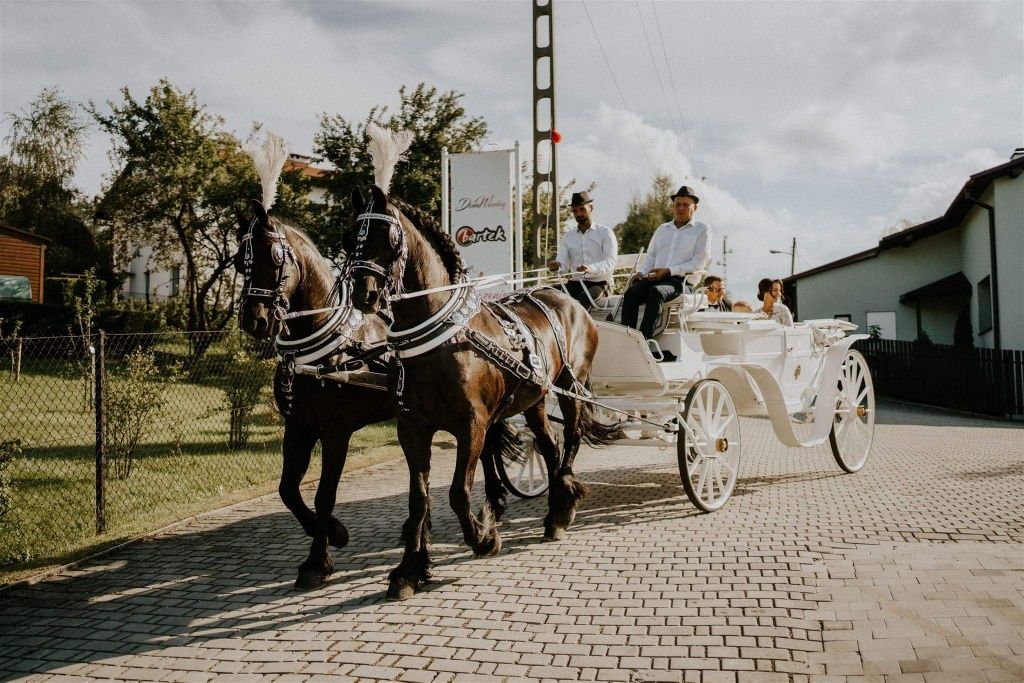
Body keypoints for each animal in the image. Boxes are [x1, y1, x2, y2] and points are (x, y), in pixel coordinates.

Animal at [234, 200, 516, 589]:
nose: (253, 319)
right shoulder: (298, 427)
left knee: (485, 447)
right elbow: (288, 490)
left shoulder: (335, 431)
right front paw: (333, 533)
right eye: (238, 261)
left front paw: (318, 559)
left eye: (274, 257)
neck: (325, 342)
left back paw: (493, 505)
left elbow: (324, 495)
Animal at [344, 184, 618, 602]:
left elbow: (458, 491)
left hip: (572, 387)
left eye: (387, 238)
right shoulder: (412, 430)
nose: (364, 294)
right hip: (536, 399)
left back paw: (563, 506)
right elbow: (418, 500)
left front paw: (484, 537)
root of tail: (569, 300)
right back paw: (555, 511)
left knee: (571, 438)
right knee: (550, 444)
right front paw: (409, 570)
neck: (443, 337)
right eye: (349, 238)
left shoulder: (472, 426)